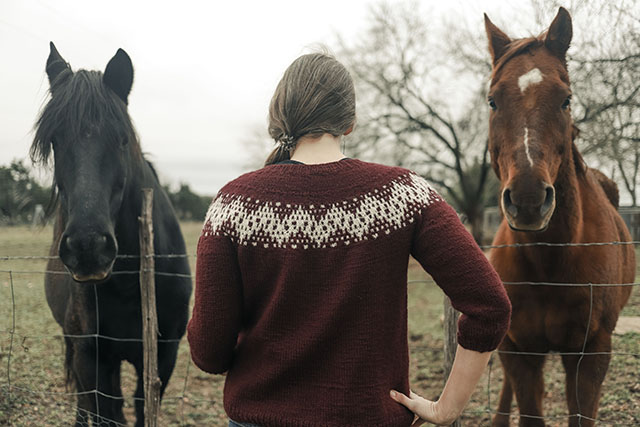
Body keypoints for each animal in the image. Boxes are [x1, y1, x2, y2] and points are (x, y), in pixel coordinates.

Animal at [31, 43, 192, 427]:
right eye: (55, 140)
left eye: (121, 139)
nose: (88, 247)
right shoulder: (91, 354)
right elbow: (104, 409)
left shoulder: (164, 355)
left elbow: (141, 407)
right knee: (85, 401)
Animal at [484, 7, 636, 427]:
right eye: (492, 101)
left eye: (566, 100)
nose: (528, 200)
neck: (550, 260)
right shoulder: (518, 350)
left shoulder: (591, 353)